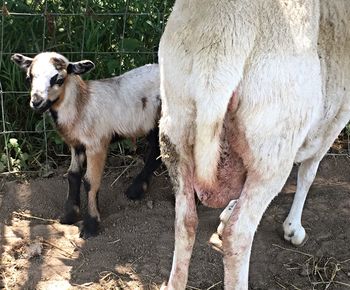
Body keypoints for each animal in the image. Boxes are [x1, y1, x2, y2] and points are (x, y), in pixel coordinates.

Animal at [11, 52, 162, 238]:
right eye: (29, 77)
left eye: (59, 79)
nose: (37, 102)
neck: (82, 105)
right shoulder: (76, 145)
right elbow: (73, 175)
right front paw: (69, 216)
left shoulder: (96, 144)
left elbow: (91, 181)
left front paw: (91, 225)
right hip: (153, 124)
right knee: (156, 151)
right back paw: (136, 190)